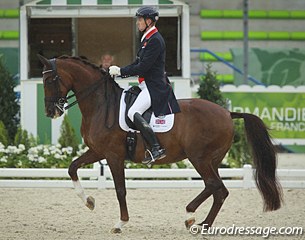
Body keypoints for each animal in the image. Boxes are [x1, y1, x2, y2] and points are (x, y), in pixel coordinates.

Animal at [37, 55, 280, 233]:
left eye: (49, 80)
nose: (50, 112)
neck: (101, 104)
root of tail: (228, 113)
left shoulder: (113, 155)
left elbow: (120, 190)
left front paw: (120, 223)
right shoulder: (98, 151)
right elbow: (72, 168)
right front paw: (88, 201)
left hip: (199, 158)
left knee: (213, 185)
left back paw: (190, 215)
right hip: (212, 160)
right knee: (220, 190)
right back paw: (202, 224)